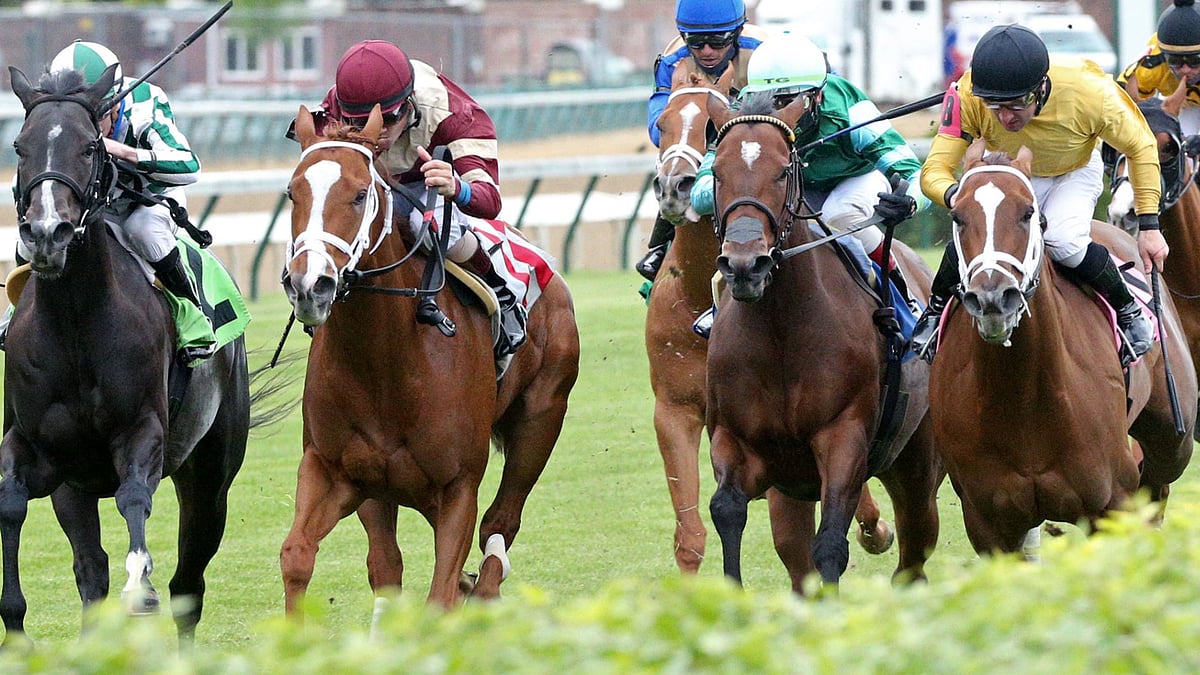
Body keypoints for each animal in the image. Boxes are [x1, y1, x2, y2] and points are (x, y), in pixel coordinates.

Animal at [0, 66, 254, 644]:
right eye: (20, 146)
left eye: (90, 146)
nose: (46, 233)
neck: (74, 326)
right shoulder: (38, 447)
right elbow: (9, 502)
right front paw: (16, 624)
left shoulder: (142, 430)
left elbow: (134, 498)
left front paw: (140, 586)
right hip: (74, 490)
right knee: (90, 569)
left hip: (211, 478)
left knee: (189, 585)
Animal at [279, 105, 580, 611]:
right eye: (292, 193)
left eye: (359, 194)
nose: (309, 286)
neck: (386, 364)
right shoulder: (340, 472)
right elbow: (304, 557)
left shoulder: (457, 488)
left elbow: (441, 590)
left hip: (541, 420)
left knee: (501, 523)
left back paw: (486, 580)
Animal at [645, 69, 896, 579]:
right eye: (660, 123)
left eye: (707, 127)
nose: (674, 186)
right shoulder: (676, 410)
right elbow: (692, 533)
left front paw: (872, 526)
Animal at [702, 92, 943, 588]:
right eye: (716, 172)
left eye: (782, 171)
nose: (745, 265)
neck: (780, 332)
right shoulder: (736, 440)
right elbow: (726, 509)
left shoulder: (843, 434)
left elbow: (830, 542)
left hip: (918, 464)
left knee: (913, 552)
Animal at [933, 140, 1196, 554]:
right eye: (957, 216)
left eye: (1028, 213)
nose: (993, 299)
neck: (1023, 395)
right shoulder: (988, 523)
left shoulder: (1110, 503)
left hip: (1174, 434)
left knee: (1157, 483)